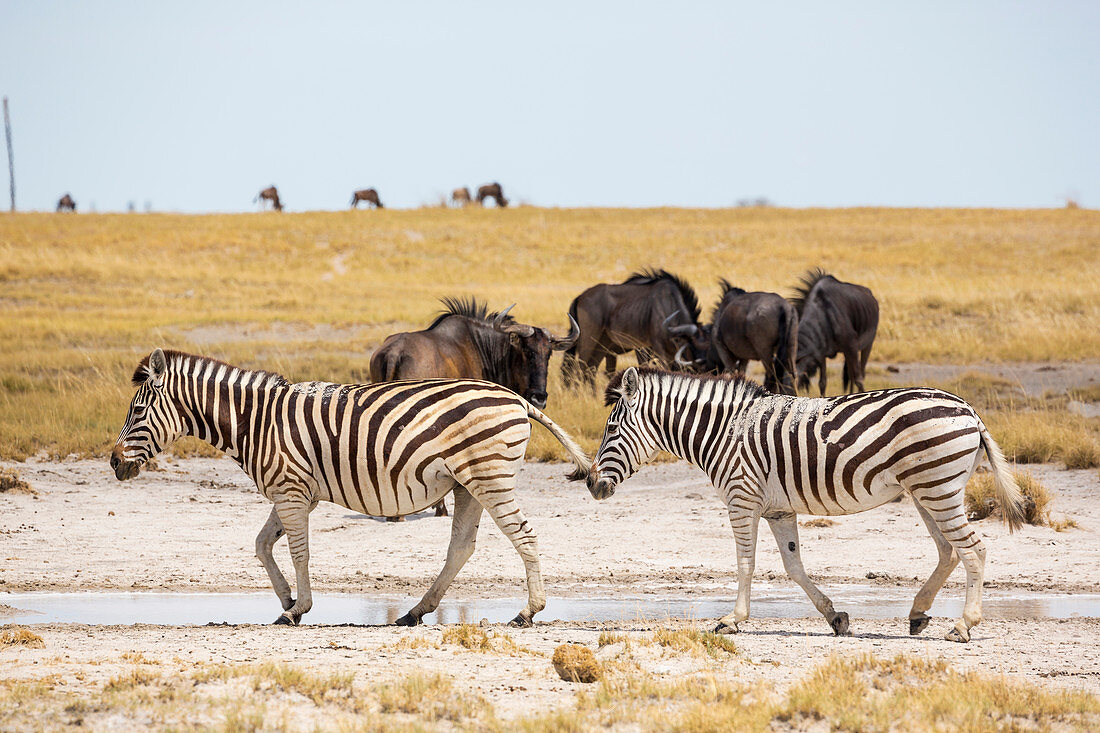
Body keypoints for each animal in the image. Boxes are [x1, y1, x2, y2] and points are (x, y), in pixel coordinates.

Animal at [110, 347, 589, 620]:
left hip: (489, 478)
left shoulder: (291, 490)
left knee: (524, 536)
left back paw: (528, 611)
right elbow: (262, 545)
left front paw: (297, 609)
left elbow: (298, 551)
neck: (256, 421)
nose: (113, 462)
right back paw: (415, 611)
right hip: (466, 485)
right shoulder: (295, 492)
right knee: (461, 548)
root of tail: (518, 398)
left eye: (137, 412)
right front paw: (286, 599)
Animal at [589, 365, 1025, 638]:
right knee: (948, 551)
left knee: (973, 550)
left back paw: (964, 626)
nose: (591, 484)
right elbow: (793, 567)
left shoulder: (741, 499)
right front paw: (836, 617)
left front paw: (733, 620)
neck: (723, 432)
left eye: (611, 429)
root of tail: (969, 410)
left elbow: (745, 564)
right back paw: (918, 613)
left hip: (937, 487)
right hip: (928, 490)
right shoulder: (778, 509)